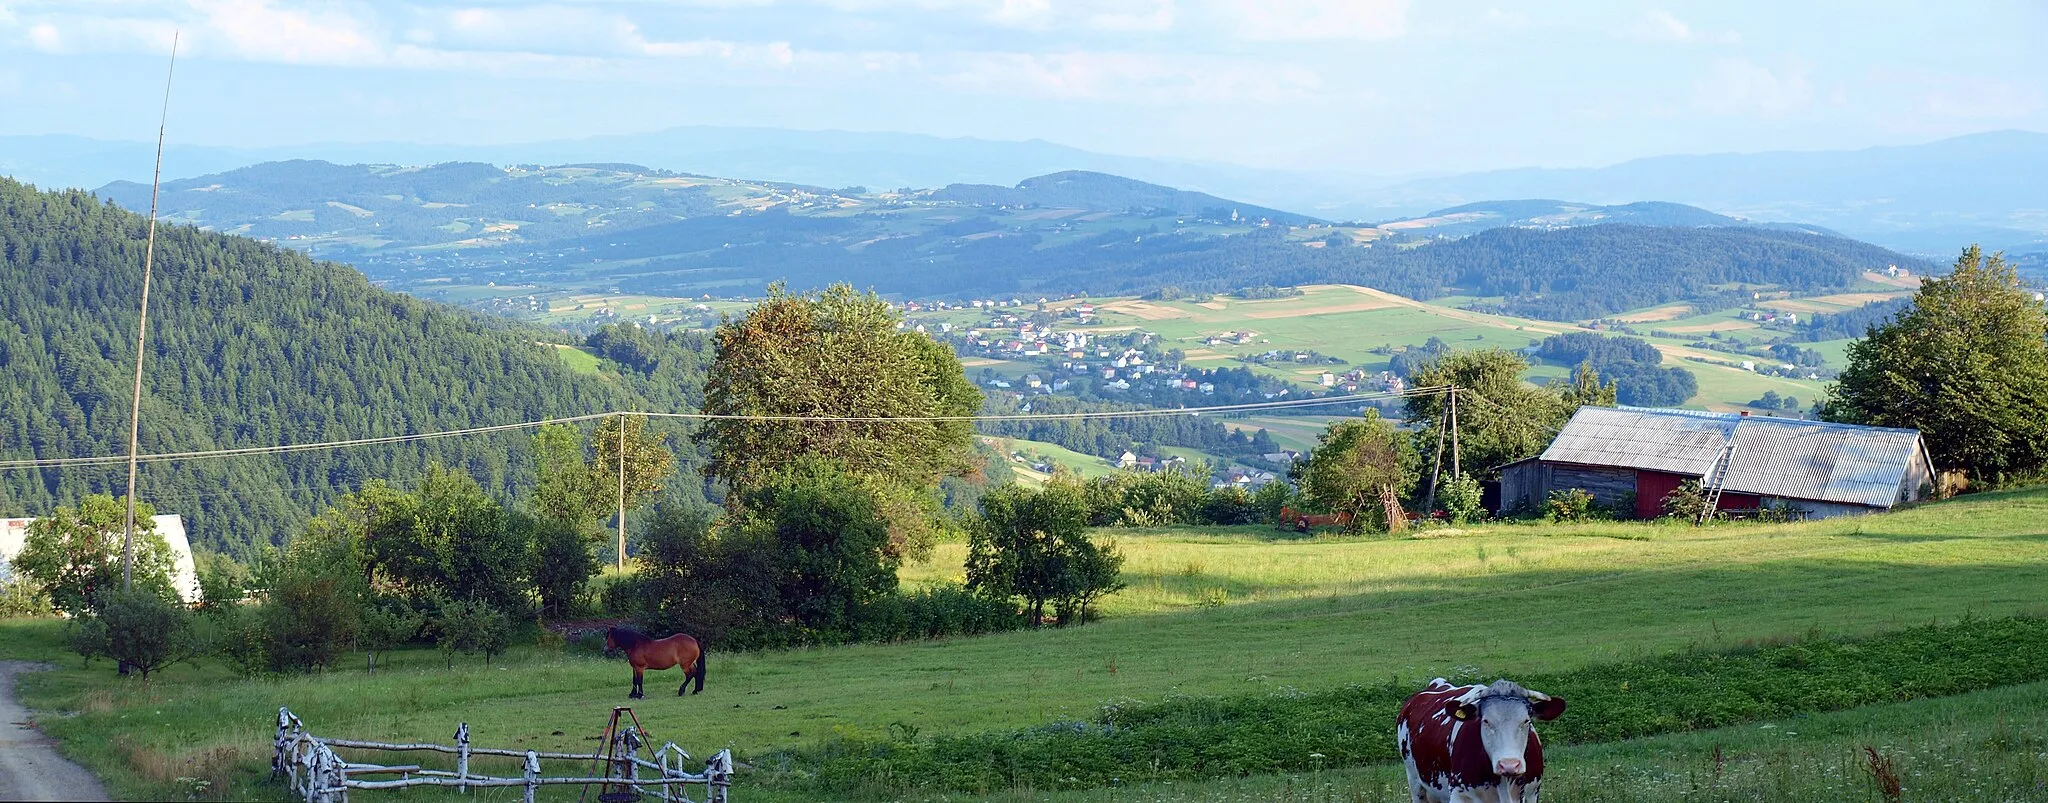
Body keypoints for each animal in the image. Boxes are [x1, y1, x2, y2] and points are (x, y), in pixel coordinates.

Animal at [1392, 675, 1564, 802]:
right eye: (1485, 721)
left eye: (1526, 720)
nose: (1508, 765)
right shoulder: (1459, 795)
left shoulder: (1531, 794)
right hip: (1415, 783)